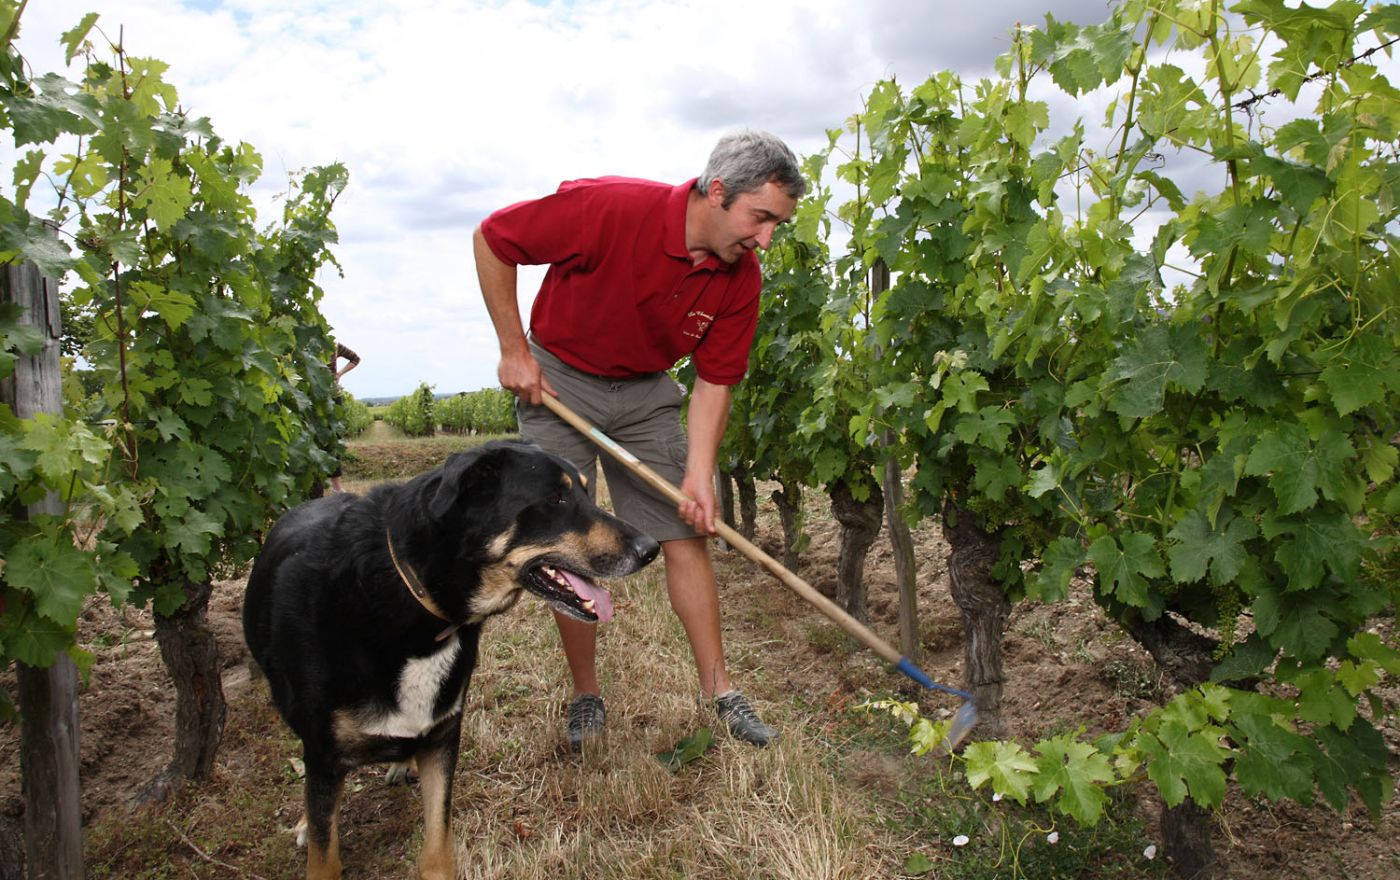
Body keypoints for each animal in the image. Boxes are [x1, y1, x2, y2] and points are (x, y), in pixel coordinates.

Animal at [245, 439, 660, 878]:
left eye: (584, 489)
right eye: (555, 499)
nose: (651, 548)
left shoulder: (444, 737)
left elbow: (438, 846)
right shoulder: (325, 750)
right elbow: (323, 853)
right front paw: (313, 828)